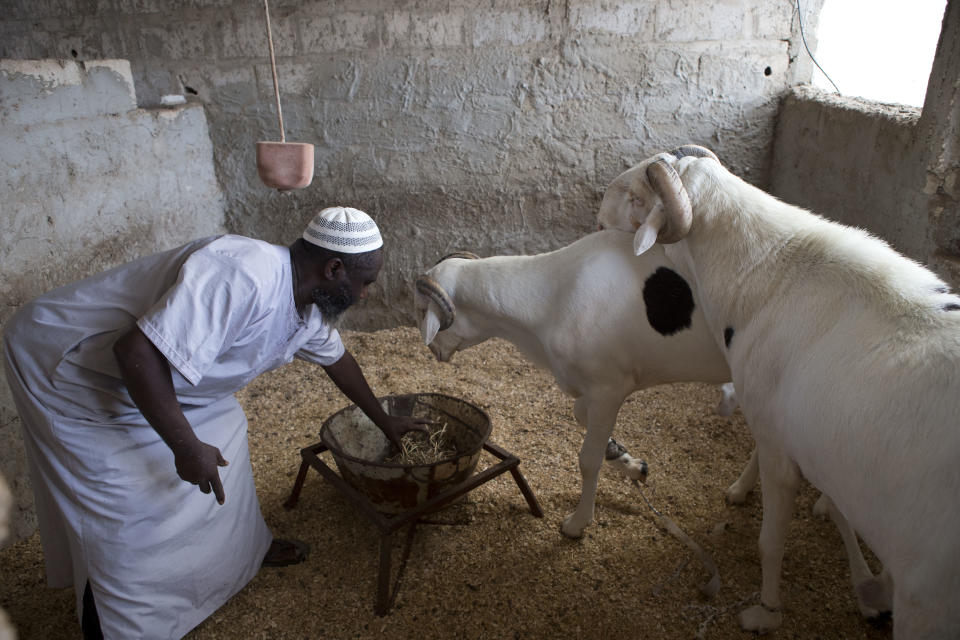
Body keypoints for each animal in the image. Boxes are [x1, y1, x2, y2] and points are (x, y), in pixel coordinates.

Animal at [596, 144, 956, 636]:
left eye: (634, 196)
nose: (598, 217)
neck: (768, 268)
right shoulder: (774, 420)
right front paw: (741, 490)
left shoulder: (779, 446)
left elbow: (770, 541)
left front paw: (765, 612)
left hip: (928, 600)